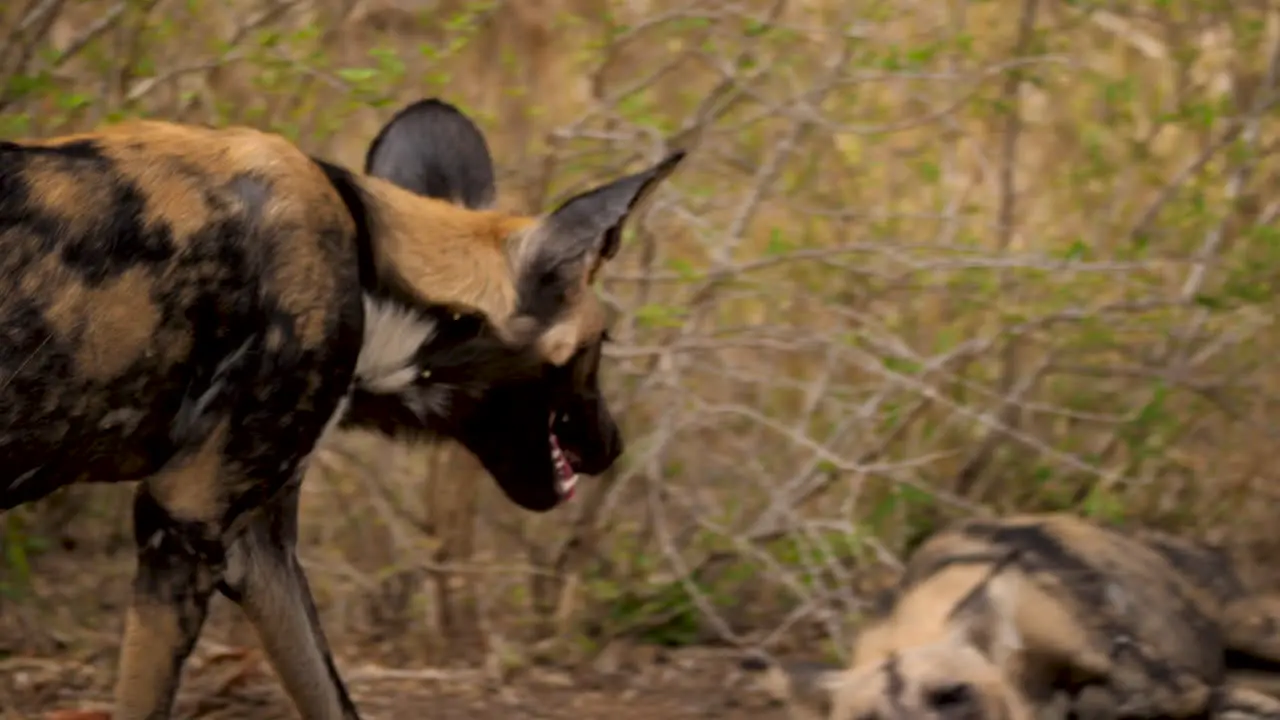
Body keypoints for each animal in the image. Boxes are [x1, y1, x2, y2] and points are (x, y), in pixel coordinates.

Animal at [0, 96, 686, 717]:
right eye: (603, 345)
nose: (614, 446)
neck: (376, 280)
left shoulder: (257, 549)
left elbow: (330, 696)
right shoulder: (183, 519)